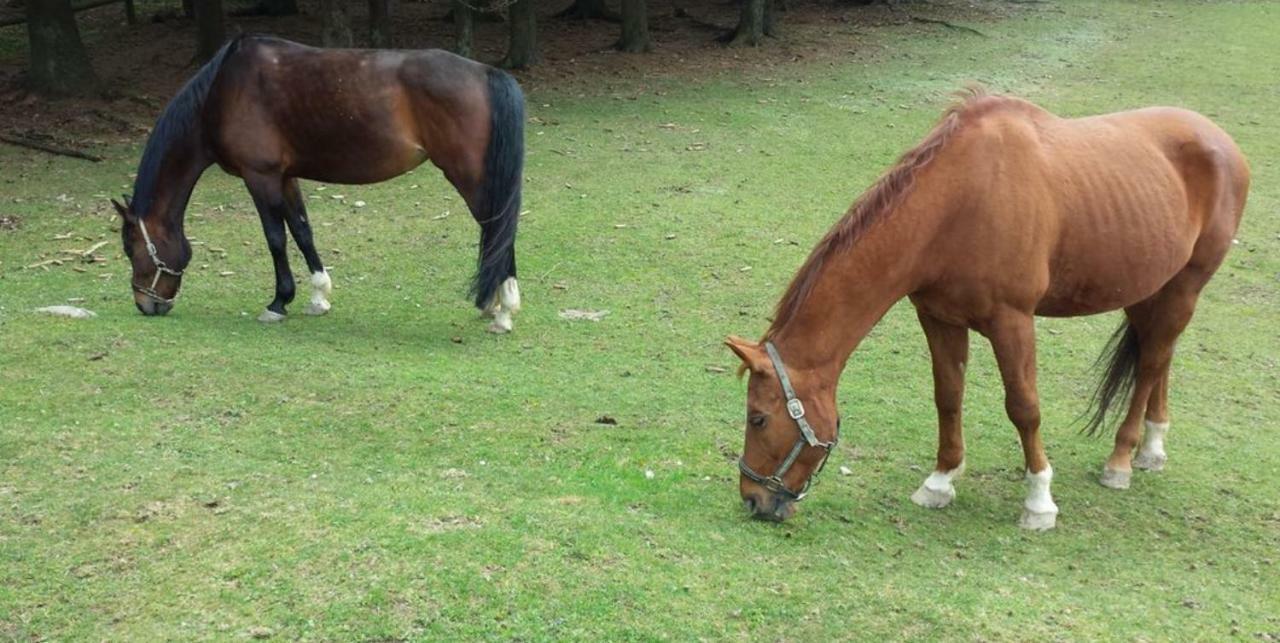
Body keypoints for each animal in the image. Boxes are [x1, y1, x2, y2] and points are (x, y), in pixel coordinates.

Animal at [111, 35, 524, 333]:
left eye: (132, 249)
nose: (146, 305)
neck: (224, 90)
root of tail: (486, 73)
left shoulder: (260, 177)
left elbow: (275, 239)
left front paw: (278, 303)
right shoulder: (286, 176)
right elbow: (302, 231)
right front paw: (318, 297)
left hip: (469, 176)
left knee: (498, 229)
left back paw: (504, 312)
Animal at [732, 91, 1249, 532]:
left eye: (758, 418)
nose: (753, 500)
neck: (959, 205)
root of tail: (1221, 140)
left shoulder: (1012, 321)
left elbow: (1024, 407)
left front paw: (1039, 502)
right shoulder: (938, 318)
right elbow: (947, 396)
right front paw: (939, 482)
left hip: (1185, 287)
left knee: (1150, 366)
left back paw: (1121, 460)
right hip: (1152, 289)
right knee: (1159, 358)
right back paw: (1152, 448)